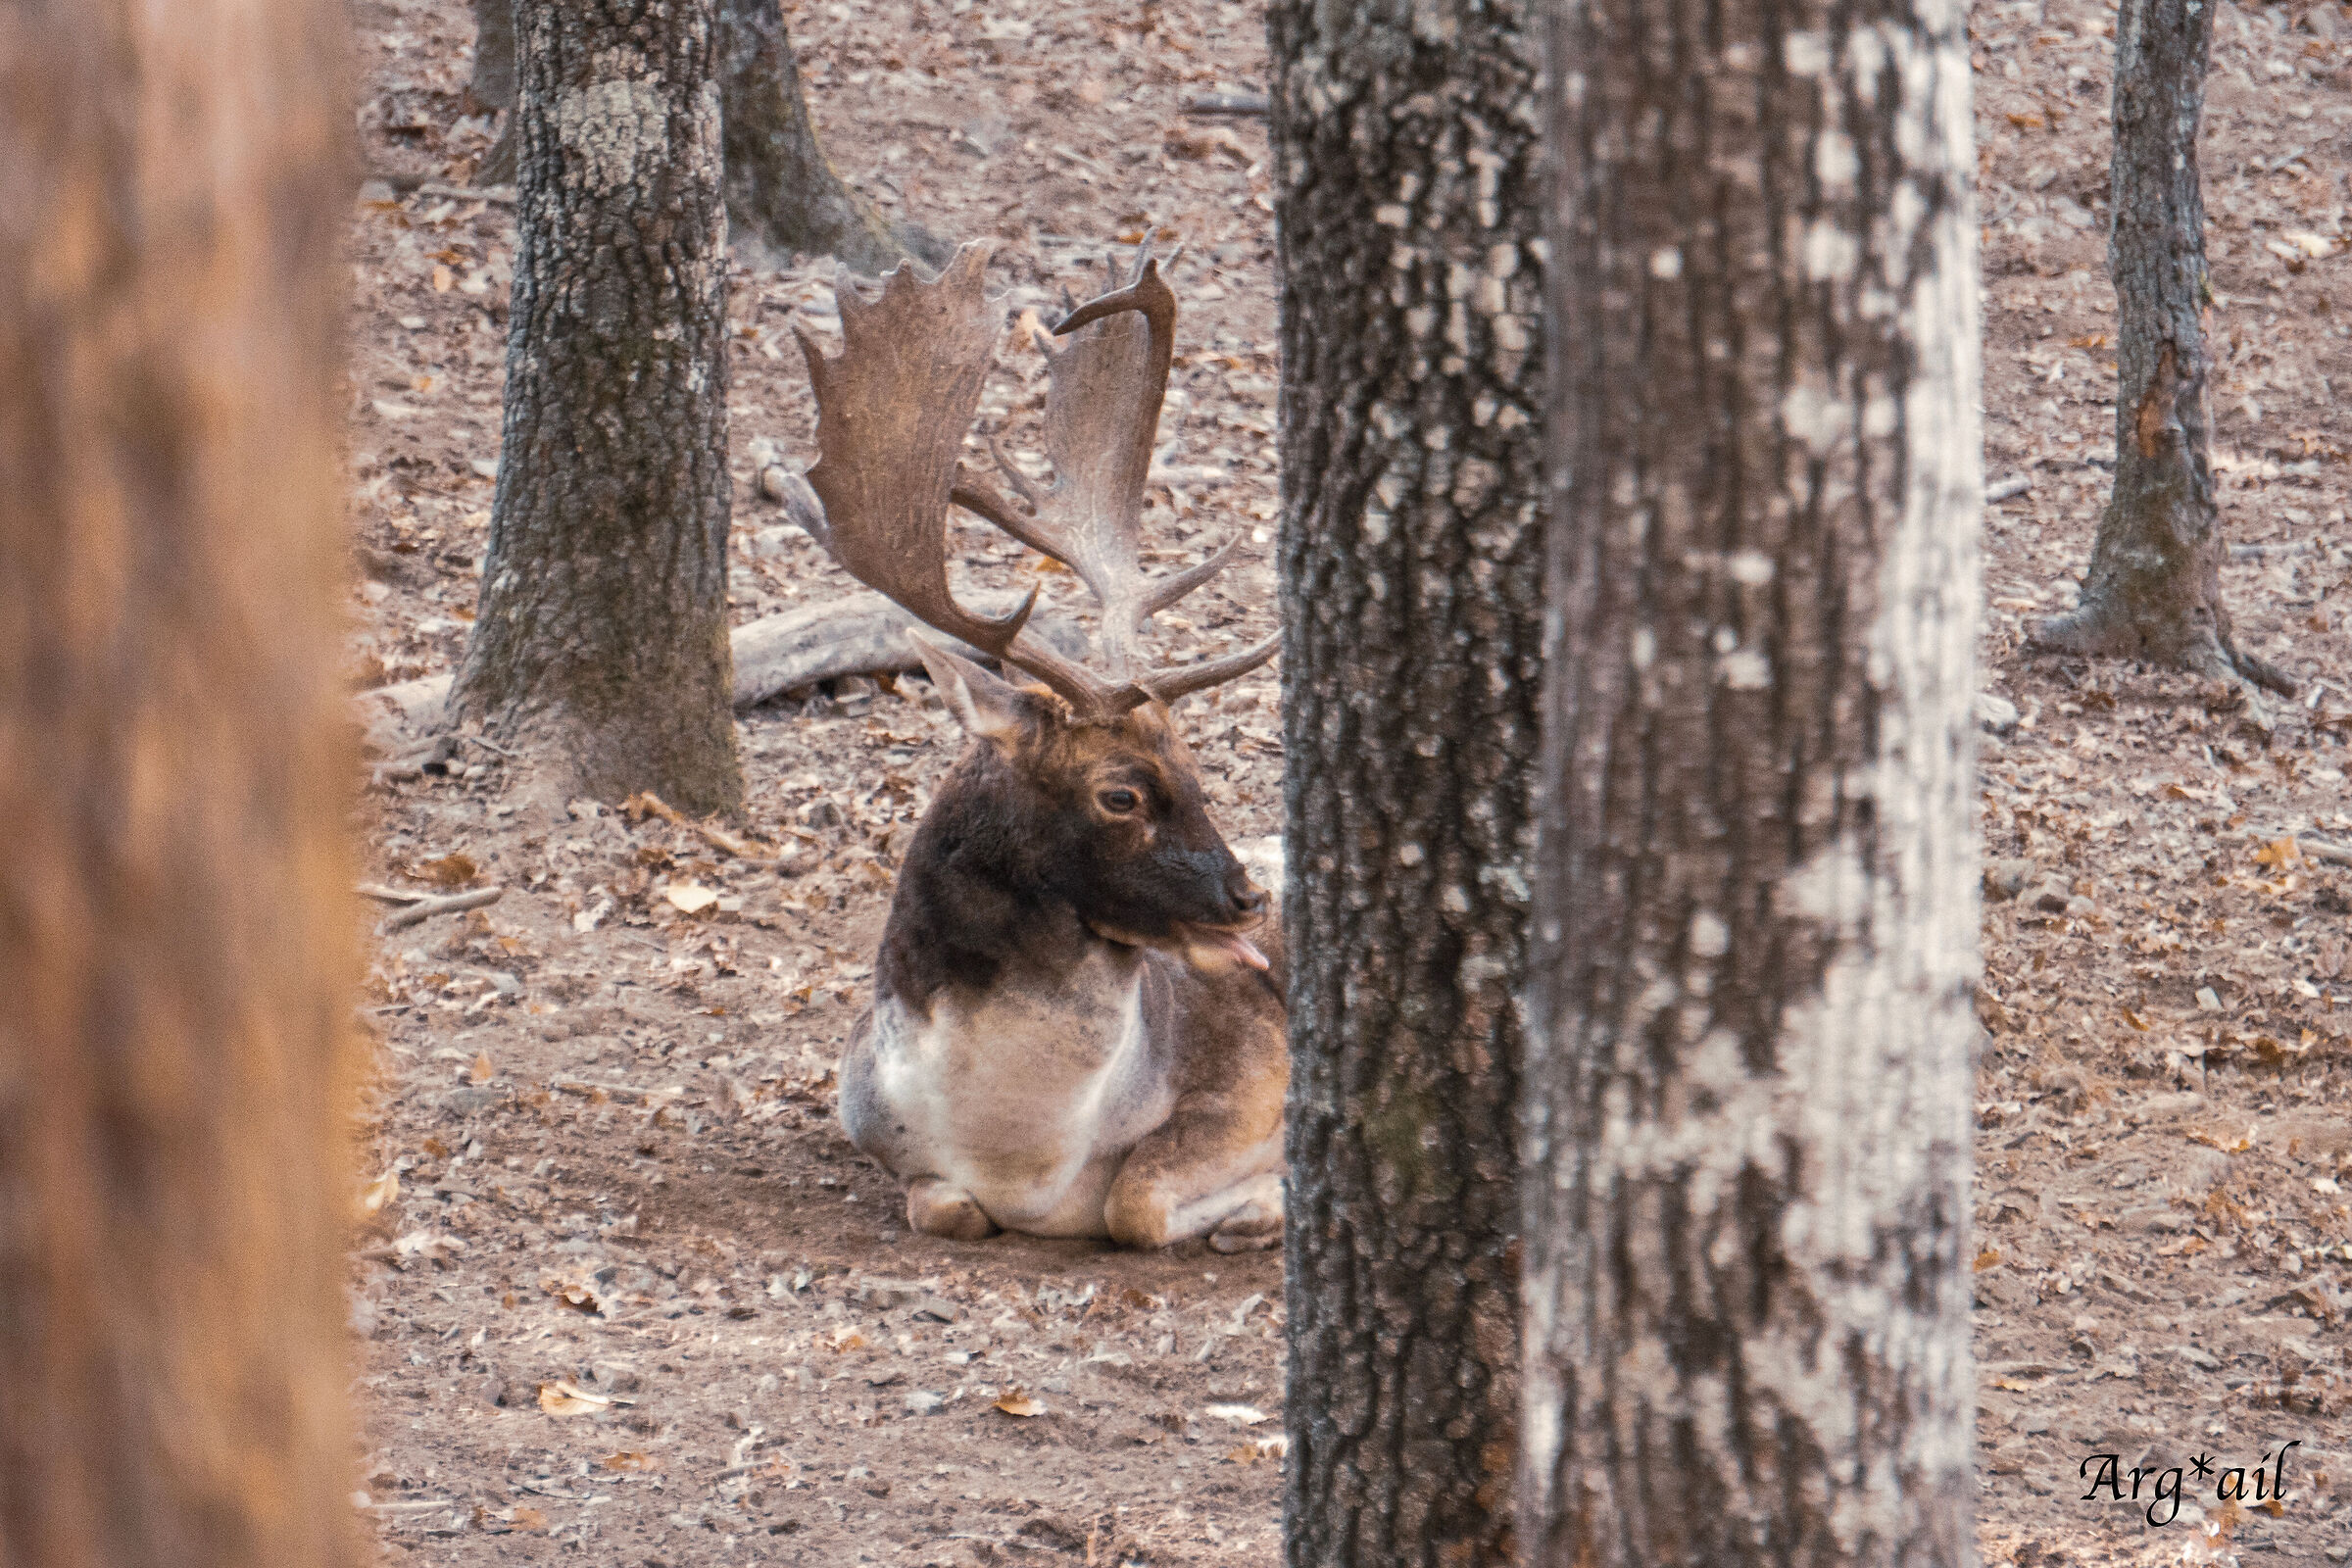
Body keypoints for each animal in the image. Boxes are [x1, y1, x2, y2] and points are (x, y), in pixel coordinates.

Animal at [785, 240, 1288, 1252]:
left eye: (1197, 770)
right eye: (1120, 793)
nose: (1248, 898)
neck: (1024, 1159)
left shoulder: (1260, 1073)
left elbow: (1136, 1206)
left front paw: (1261, 1207)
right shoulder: (872, 1125)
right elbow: (946, 1210)